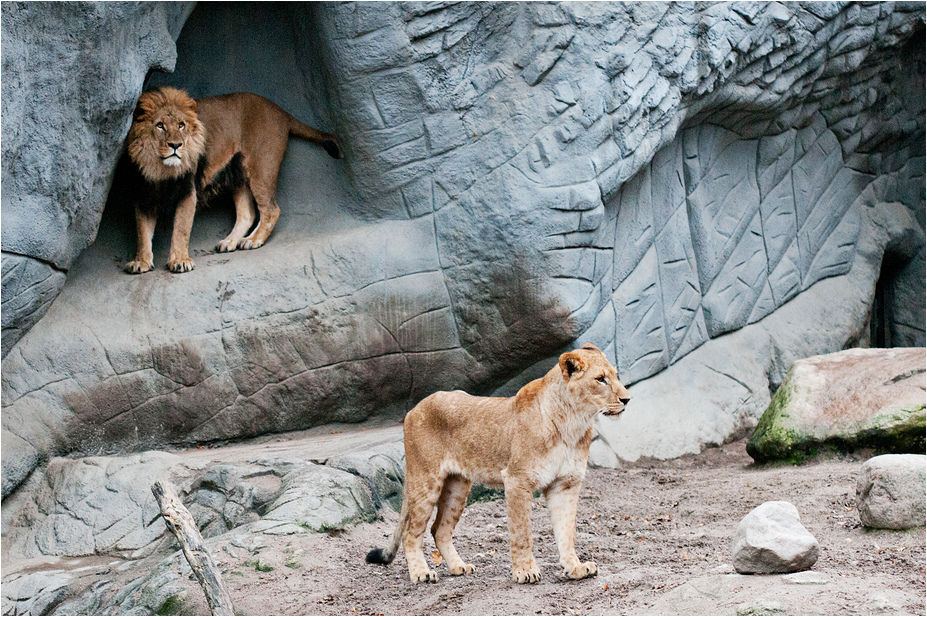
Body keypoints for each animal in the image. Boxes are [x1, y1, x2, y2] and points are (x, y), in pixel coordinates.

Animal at [123, 86, 341, 274]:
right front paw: (141, 262)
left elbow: (181, 229)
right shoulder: (142, 194)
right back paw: (230, 242)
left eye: (181, 125)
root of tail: (280, 111)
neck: (160, 168)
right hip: (239, 175)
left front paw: (180, 261)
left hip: (262, 168)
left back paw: (253, 240)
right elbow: (142, 232)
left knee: (271, 210)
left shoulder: (188, 191)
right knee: (247, 214)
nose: (176, 145)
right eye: (159, 126)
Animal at [366, 343, 631, 584]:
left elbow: (567, 531)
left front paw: (575, 568)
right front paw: (525, 572)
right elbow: (522, 532)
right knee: (411, 533)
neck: (573, 421)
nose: (627, 399)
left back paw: (459, 567)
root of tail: (414, 409)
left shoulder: (566, 484)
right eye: (600, 379)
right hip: (426, 480)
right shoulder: (517, 479)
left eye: (616, 376)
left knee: (439, 530)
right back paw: (421, 573)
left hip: (457, 487)